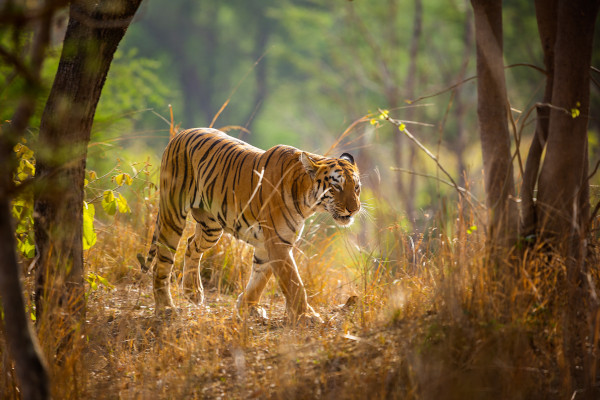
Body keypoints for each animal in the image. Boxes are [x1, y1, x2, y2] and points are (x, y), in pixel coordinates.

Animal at [138, 128, 360, 324]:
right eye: (336, 186)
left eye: (356, 187)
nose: (354, 209)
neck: (307, 200)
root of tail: (181, 134)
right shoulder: (277, 241)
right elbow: (294, 282)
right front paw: (306, 316)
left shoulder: (273, 242)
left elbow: (260, 278)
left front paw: (247, 306)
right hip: (173, 214)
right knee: (162, 263)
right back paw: (166, 308)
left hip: (211, 227)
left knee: (192, 245)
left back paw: (193, 292)